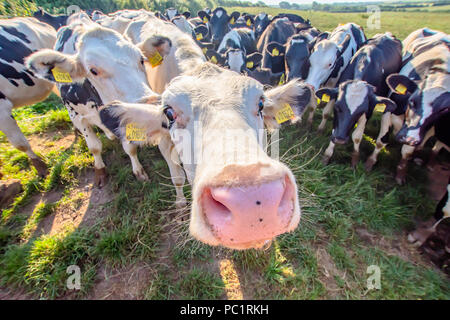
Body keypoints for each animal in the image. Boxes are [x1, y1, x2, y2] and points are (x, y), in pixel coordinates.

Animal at [25, 18, 160, 188]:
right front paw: (100, 172)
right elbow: (94, 147)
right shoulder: (78, 116)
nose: (150, 106)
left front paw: (139, 172)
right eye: (93, 71)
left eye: (141, 59)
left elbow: (130, 148)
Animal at [102, 15, 320, 250]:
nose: (252, 201)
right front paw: (180, 204)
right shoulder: (165, 143)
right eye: (169, 113)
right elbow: (177, 178)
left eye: (261, 104)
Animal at [314, 33, 402, 166]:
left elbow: (357, 135)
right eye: (337, 107)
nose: (340, 140)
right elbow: (333, 124)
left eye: (362, 111)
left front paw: (354, 159)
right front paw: (327, 155)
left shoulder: (369, 110)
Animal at [368, 31, 448, 185]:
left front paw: (400, 175)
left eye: (443, 110)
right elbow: (381, 141)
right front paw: (370, 162)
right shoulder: (389, 112)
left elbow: (407, 151)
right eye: (412, 101)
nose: (408, 138)